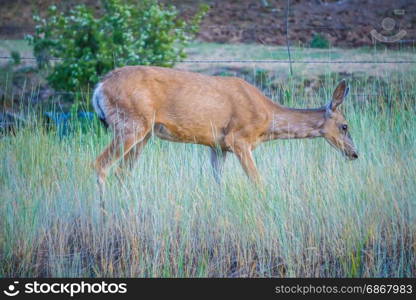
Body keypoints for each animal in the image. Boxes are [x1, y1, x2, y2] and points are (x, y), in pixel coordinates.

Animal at [92, 66, 360, 200]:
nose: (355, 153)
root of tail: (100, 87)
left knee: (122, 172)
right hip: (132, 123)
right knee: (101, 165)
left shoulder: (218, 146)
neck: (267, 119)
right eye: (345, 126)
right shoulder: (239, 139)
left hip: (144, 133)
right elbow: (257, 181)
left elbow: (217, 182)